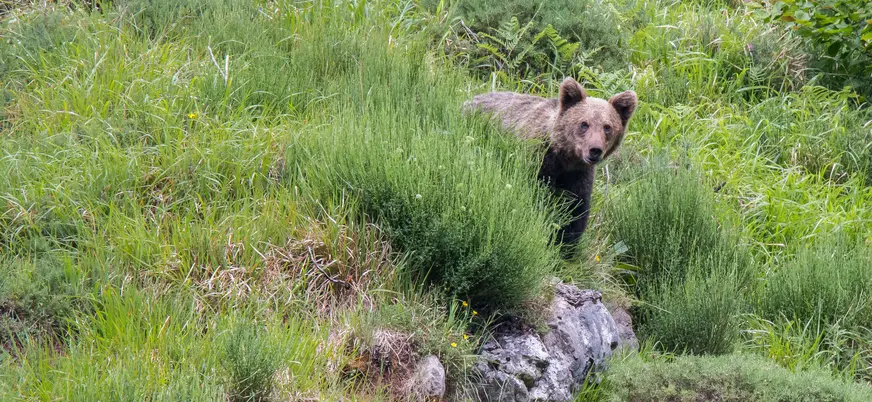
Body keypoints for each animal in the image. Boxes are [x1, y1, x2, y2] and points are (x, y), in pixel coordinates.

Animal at [464, 77, 637, 247]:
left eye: (607, 127)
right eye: (584, 124)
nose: (595, 150)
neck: (565, 158)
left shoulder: (578, 175)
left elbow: (576, 209)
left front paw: (565, 243)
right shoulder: (539, 160)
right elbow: (538, 196)